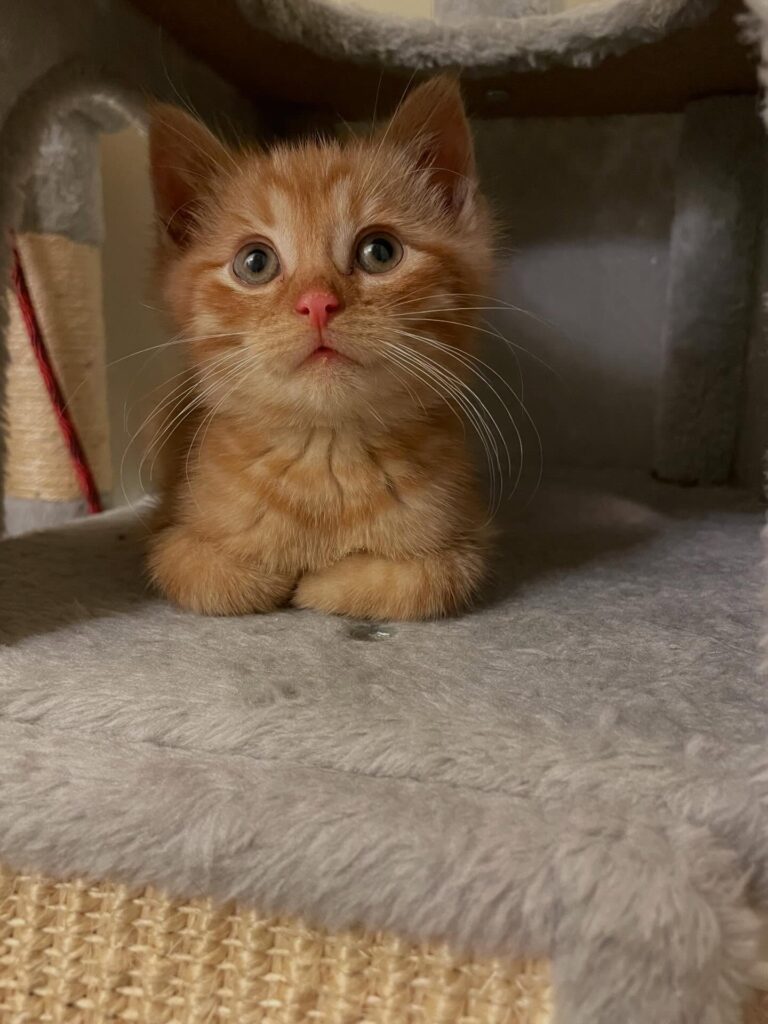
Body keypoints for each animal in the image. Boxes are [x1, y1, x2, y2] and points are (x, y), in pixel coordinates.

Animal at [146, 75, 493, 620]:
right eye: (255, 262)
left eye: (380, 252)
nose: (316, 304)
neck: (325, 456)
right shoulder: (168, 533)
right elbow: (215, 579)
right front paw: (277, 577)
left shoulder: (468, 539)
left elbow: (425, 581)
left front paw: (324, 582)